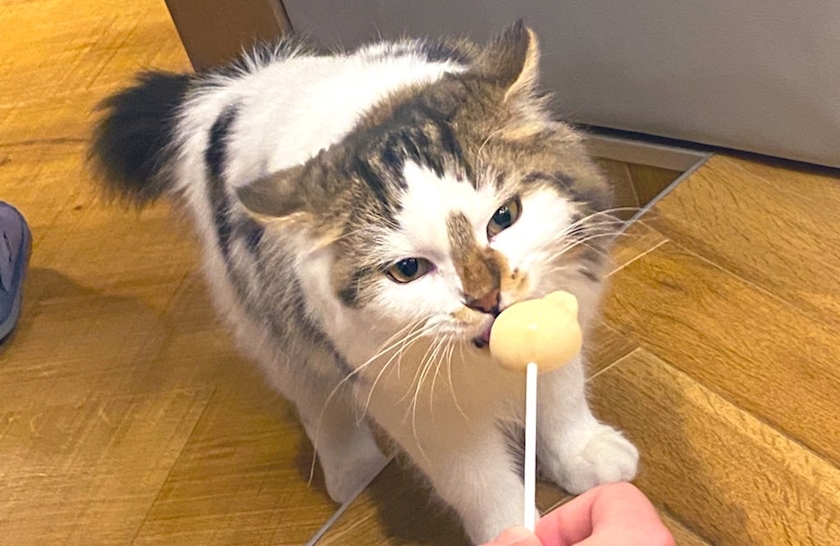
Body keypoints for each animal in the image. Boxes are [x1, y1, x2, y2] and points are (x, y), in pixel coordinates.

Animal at [90, 21, 638, 544]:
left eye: (505, 217)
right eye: (408, 270)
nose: (487, 299)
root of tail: (229, 89)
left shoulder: (561, 312)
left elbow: (561, 402)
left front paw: (588, 457)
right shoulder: (418, 407)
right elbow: (479, 483)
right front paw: (513, 532)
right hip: (272, 334)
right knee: (318, 408)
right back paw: (352, 473)